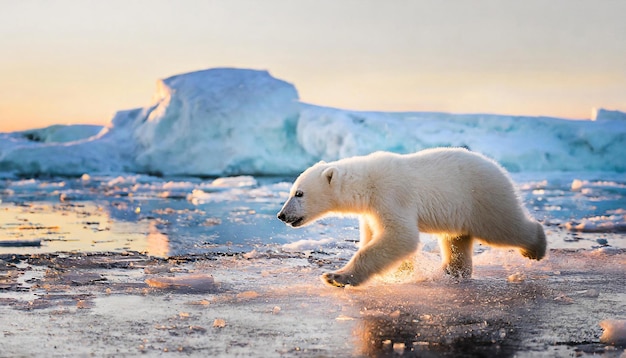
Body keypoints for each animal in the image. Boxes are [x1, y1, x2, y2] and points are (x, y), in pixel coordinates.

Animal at [276, 147, 544, 286]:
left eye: (298, 193)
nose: (281, 215)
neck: (366, 183)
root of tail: (500, 169)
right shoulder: (371, 211)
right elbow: (375, 236)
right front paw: (402, 270)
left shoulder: (390, 195)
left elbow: (400, 236)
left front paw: (337, 276)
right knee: (455, 240)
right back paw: (449, 273)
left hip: (480, 198)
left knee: (503, 227)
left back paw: (535, 247)